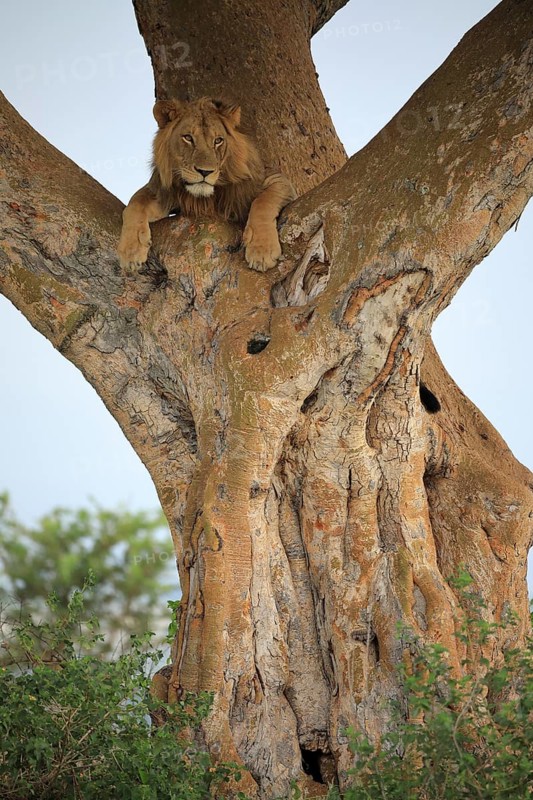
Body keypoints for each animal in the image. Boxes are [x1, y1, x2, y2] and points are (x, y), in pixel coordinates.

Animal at [118, 97, 296, 272]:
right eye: (188, 138)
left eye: (218, 141)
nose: (205, 171)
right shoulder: (164, 195)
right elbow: (135, 203)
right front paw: (131, 252)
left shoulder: (275, 179)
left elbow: (263, 202)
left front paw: (262, 251)